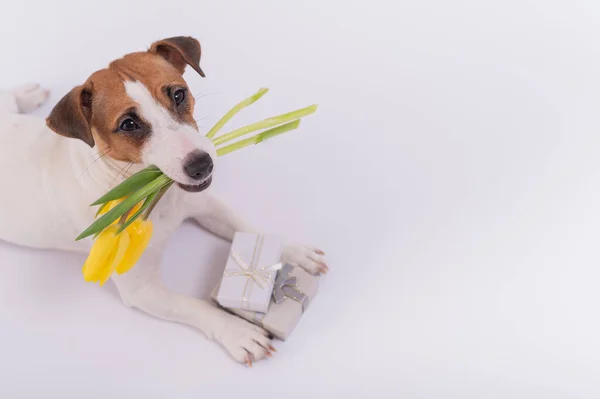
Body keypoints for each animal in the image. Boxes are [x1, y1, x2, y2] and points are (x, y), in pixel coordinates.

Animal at [0, 36, 328, 368]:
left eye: (178, 94)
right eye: (128, 124)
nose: (202, 165)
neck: (151, 192)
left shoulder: (206, 206)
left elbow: (247, 227)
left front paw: (293, 252)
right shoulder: (143, 291)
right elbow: (196, 306)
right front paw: (238, 332)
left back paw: (25, 94)